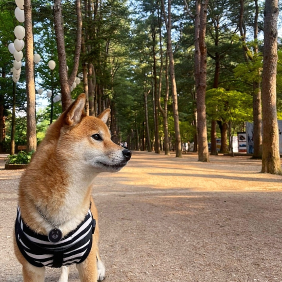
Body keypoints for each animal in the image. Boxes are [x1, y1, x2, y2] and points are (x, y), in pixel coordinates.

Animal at [13, 93, 131, 280]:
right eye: (96, 137)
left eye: (111, 138)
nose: (128, 153)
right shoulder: (31, 268)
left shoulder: (86, 261)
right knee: (65, 264)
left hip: (95, 236)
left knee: (97, 252)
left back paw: (101, 270)